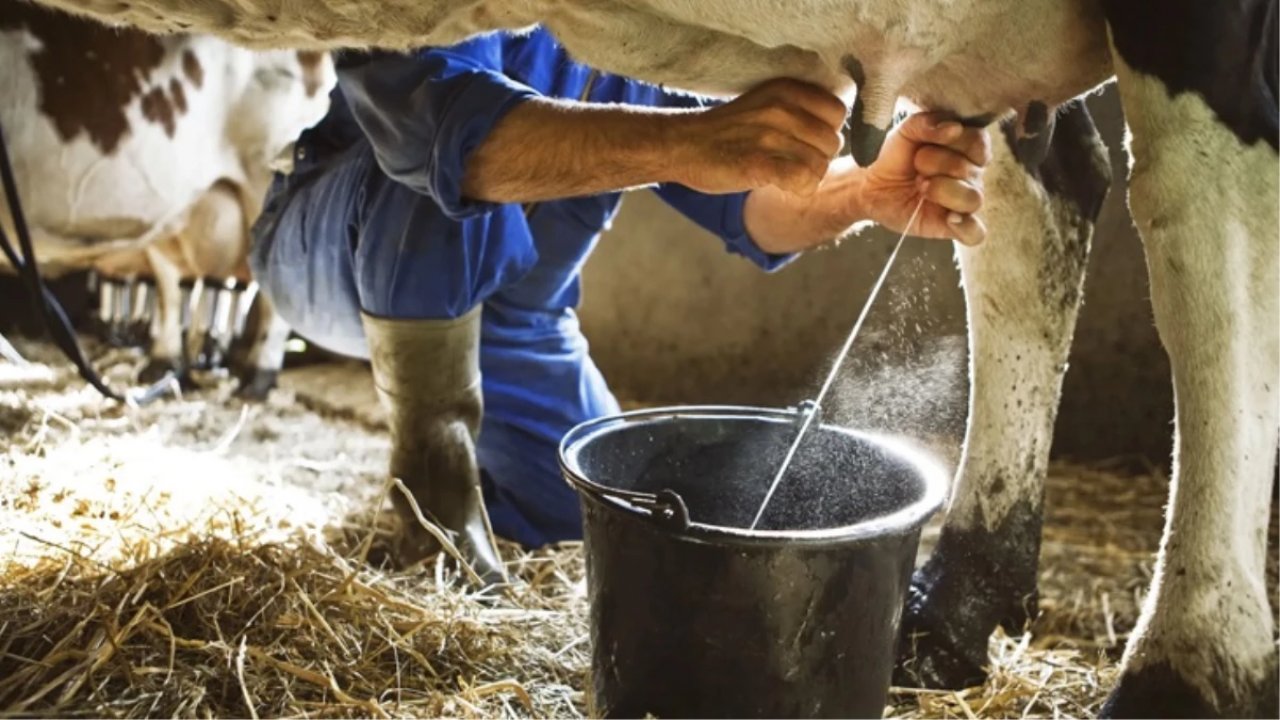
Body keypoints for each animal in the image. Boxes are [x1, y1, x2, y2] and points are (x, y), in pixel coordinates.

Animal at [0, 0, 335, 394]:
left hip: (267, 169)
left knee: (269, 286)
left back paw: (256, 375)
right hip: (175, 214)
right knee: (173, 287)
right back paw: (165, 364)